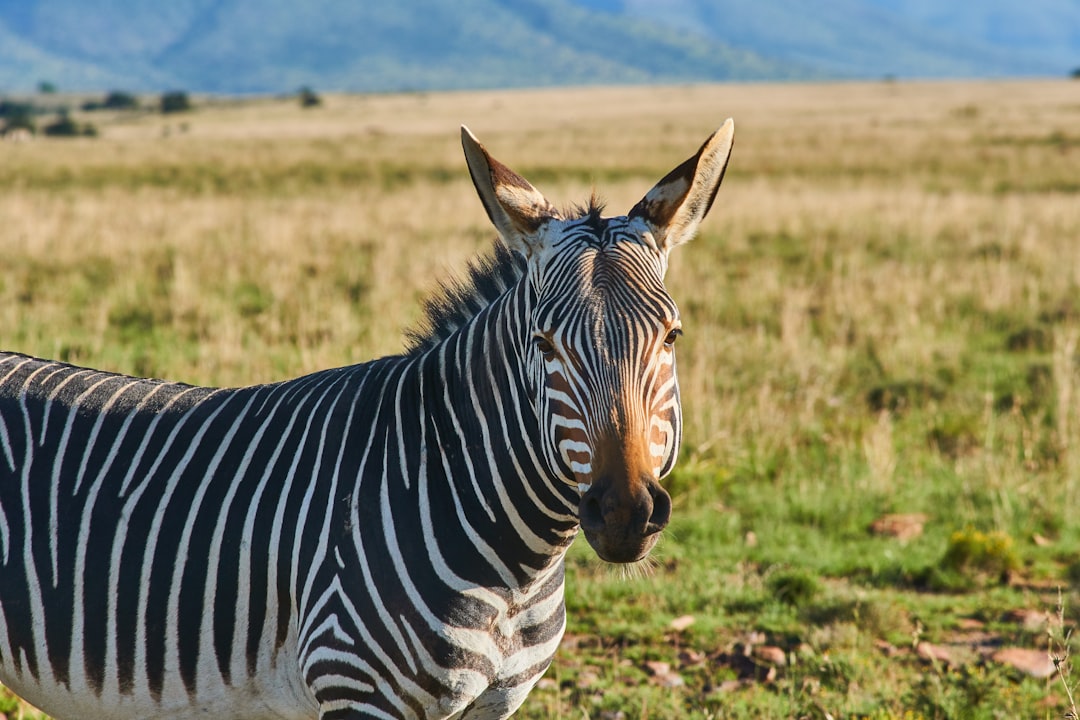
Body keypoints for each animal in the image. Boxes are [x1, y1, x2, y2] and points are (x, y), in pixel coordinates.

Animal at [0, 120, 734, 716]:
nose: (624, 513)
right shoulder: (352, 685)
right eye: (544, 343)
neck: (515, 569)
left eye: (671, 338)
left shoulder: (493, 704)